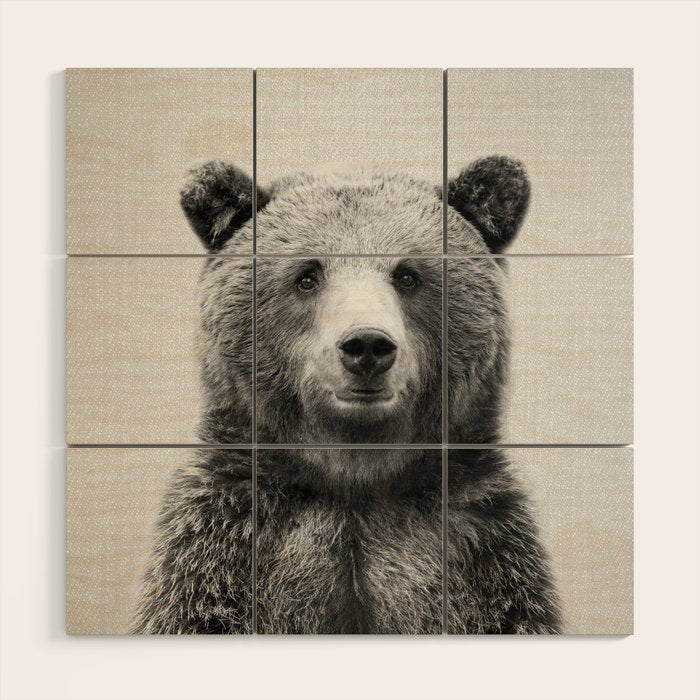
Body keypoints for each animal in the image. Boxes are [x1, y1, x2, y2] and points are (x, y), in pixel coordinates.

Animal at [132, 157, 561, 634]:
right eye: (307, 276)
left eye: (408, 275)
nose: (367, 345)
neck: (355, 477)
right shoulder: (223, 550)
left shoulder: (482, 556)